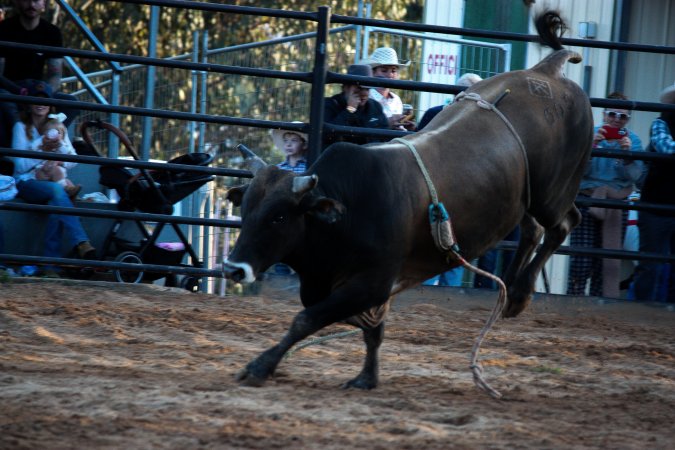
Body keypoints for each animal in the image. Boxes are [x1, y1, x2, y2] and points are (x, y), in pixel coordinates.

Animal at [222, 11, 593, 395]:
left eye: (278, 217)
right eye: (245, 211)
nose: (233, 269)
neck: (347, 209)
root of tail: (547, 71)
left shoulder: (371, 282)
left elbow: (308, 319)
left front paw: (260, 366)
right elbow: (369, 326)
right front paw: (367, 376)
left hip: (552, 194)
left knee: (563, 224)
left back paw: (519, 294)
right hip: (525, 199)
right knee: (532, 230)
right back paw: (510, 290)